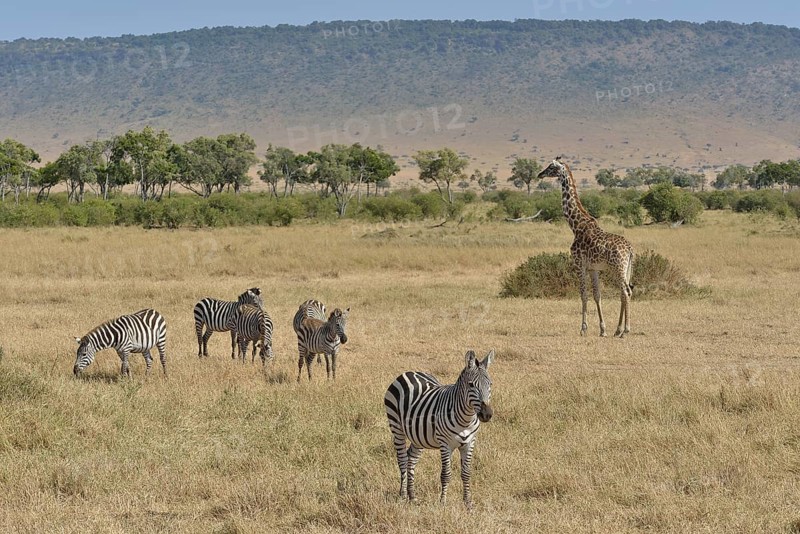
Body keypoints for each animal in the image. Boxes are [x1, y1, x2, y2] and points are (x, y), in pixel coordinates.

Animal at [384, 349, 495, 509]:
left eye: (490, 384)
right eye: (471, 385)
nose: (487, 414)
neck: (465, 420)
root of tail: (409, 372)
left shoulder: (469, 443)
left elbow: (466, 473)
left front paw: (468, 504)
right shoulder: (445, 444)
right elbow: (446, 474)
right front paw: (443, 502)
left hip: (418, 436)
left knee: (411, 459)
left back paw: (412, 496)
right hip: (396, 427)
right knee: (403, 460)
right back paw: (403, 496)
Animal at [537, 157, 634, 337]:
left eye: (551, 167)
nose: (540, 174)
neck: (576, 226)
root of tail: (631, 249)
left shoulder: (579, 264)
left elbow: (583, 295)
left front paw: (583, 329)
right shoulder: (593, 268)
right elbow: (597, 295)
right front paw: (602, 330)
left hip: (618, 267)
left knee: (626, 291)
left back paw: (625, 330)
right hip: (627, 268)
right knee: (624, 292)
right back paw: (617, 330)